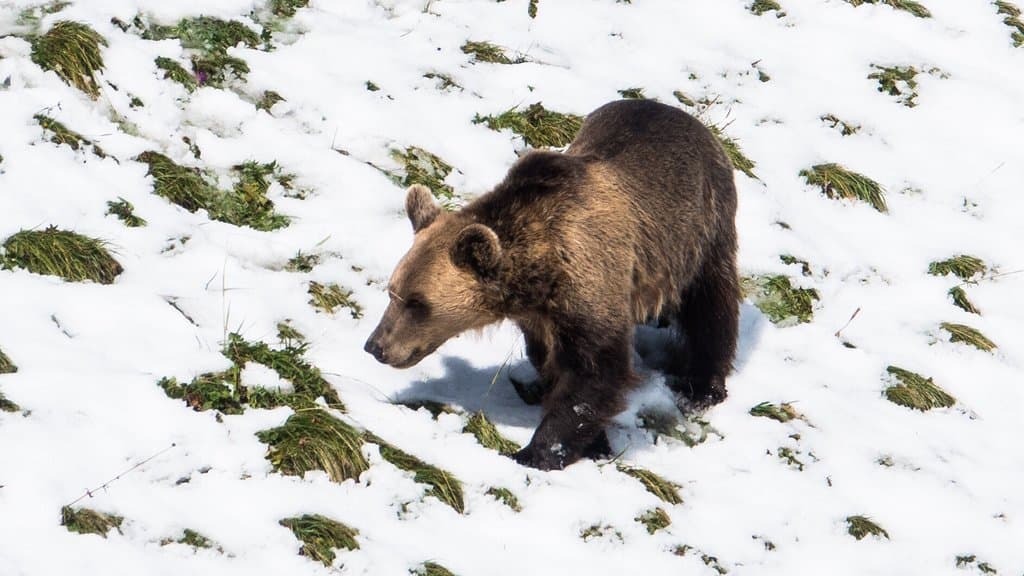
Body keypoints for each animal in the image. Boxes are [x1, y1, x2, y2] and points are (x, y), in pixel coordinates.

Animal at [364, 99, 740, 470]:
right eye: (393, 291)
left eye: (418, 303)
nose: (376, 346)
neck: (542, 269)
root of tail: (685, 116)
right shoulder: (539, 318)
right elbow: (550, 362)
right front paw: (591, 442)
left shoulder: (592, 281)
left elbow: (593, 374)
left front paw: (537, 452)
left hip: (699, 228)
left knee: (711, 306)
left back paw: (702, 388)